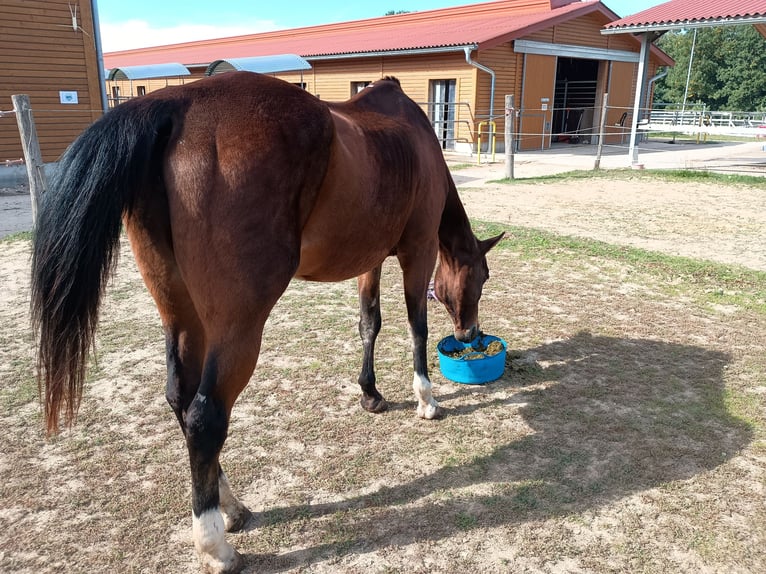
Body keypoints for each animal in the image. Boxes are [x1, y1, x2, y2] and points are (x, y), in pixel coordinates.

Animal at [30, 72, 503, 573]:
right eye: (482, 276)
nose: (470, 335)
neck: (409, 140)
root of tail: (177, 104)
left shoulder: (369, 258)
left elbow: (368, 323)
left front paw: (370, 393)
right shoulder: (417, 250)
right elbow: (417, 326)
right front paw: (426, 399)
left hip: (181, 316)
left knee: (181, 399)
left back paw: (230, 507)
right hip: (239, 326)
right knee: (205, 417)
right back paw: (215, 546)